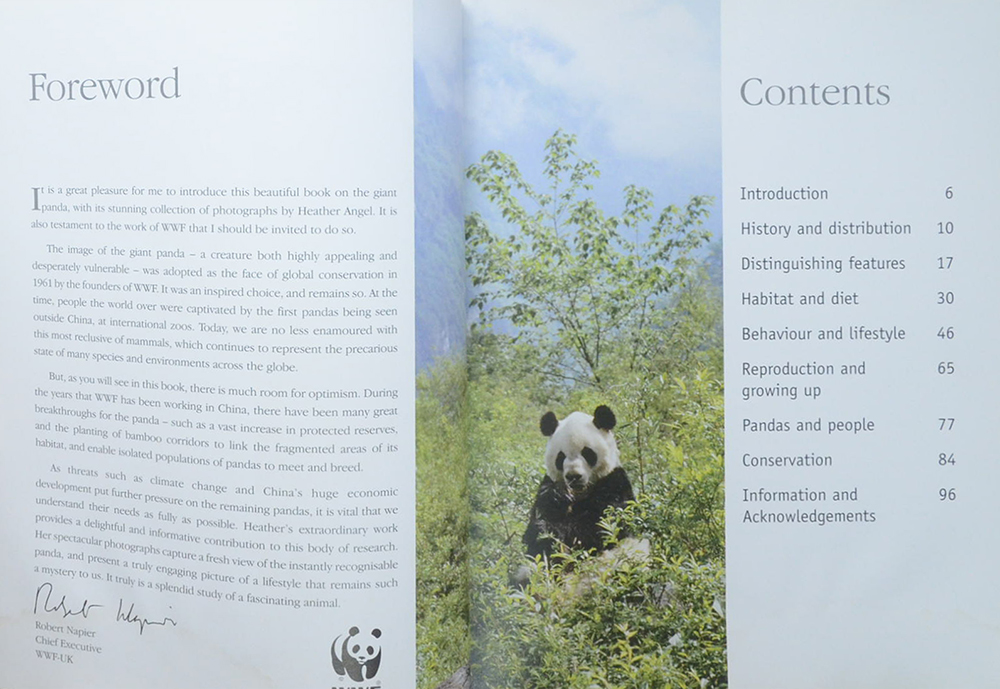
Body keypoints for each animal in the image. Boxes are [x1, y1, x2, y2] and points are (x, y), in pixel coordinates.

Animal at [523, 404, 635, 558]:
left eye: (587, 453)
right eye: (560, 456)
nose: (573, 476)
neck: (579, 492)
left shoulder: (615, 483)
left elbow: (601, 525)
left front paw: (554, 531)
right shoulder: (547, 486)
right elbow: (536, 526)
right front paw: (558, 497)